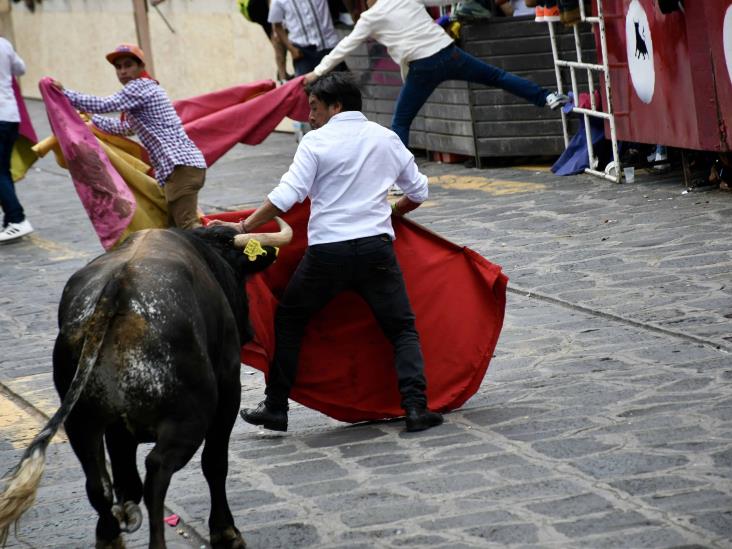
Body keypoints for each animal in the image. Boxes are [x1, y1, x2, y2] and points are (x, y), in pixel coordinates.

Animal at [0, 225, 284, 544]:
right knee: (157, 472)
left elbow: (124, 482)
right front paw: (225, 532)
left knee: (99, 484)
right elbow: (214, 463)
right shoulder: (229, 387)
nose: (250, 329)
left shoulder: (116, 431)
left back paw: (111, 537)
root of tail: (117, 287)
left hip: (81, 422)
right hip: (191, 416)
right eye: (241, 275)